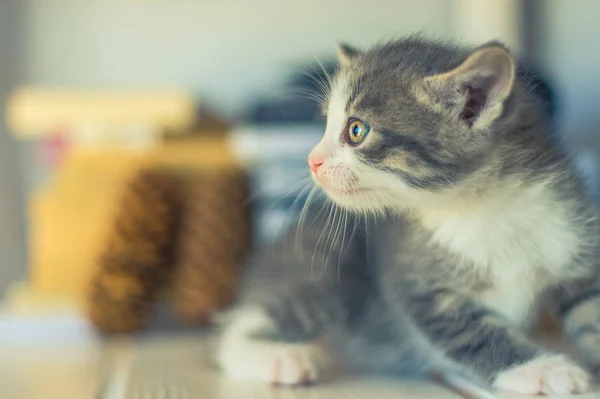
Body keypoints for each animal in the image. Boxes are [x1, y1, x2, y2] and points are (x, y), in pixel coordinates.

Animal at [216, 37, 600, 396]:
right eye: (325, 124)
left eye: (356, 130)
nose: (312, 160)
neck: (484, 206)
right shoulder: (419, 284)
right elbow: (475, 334)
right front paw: (545, 368)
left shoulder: (572, 231)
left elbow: (590, 308)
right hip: (327, 272)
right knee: (242, 325)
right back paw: (281, 357)